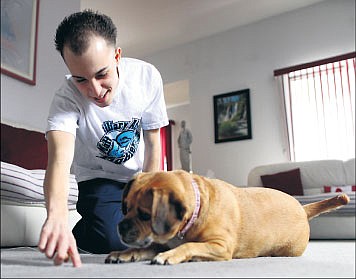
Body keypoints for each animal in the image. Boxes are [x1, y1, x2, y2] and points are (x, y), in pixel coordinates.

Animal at [104, 170, 350, 266]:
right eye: (125, 208)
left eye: (146, 215)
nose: (121, 226)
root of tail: (302, 208)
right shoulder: (160, 241)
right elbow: (143, 248)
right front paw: (124, 253)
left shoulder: (220, 247)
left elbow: (190, 246)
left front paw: (170, 255)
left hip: (288, 250)